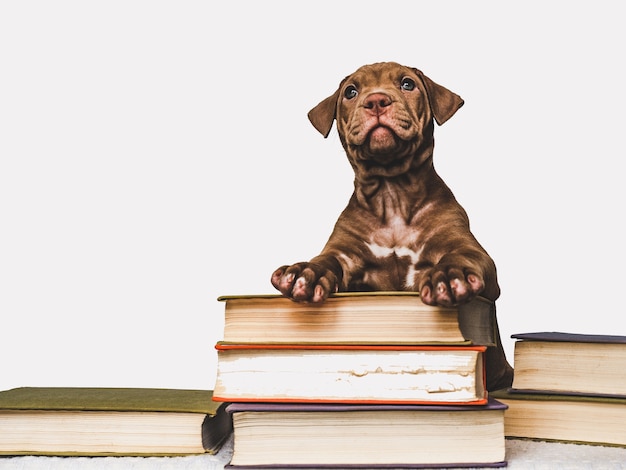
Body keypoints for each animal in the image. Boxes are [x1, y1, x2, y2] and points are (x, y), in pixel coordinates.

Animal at [270, 61, 510, 390]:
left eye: (407, 84)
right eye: (351, 91)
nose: (376, 100)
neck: (392, 191)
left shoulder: (468, 249)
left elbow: (462, 256)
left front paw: (449, 276)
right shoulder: (345, 253)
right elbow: (326, 260)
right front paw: (305, 272)